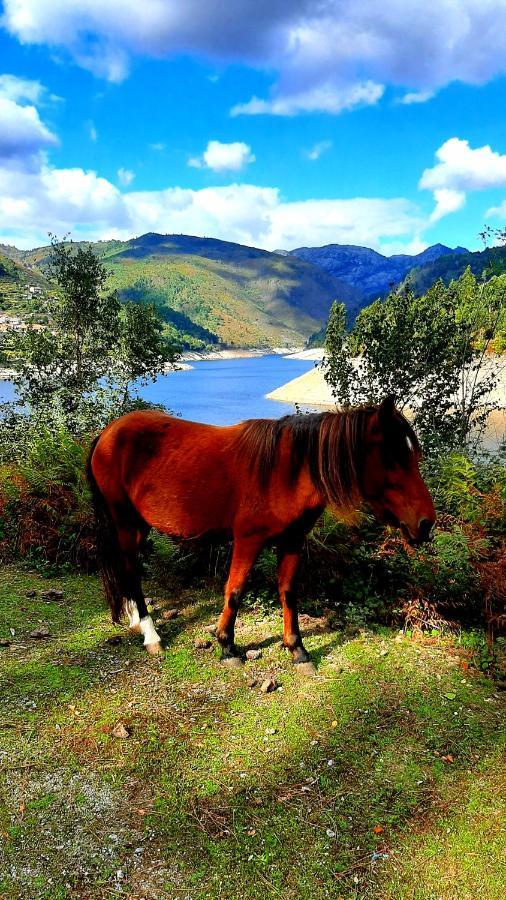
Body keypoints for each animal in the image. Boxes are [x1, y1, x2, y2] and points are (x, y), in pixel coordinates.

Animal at [86, 398, 434, 672]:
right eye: (393, 458)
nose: (426, 523)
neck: (285, 472)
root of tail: (107, 433)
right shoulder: (248, 540)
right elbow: (235, 591)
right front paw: (227, 645)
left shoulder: (293, 540)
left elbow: (288, 592)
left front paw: (296, 647)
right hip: (124, 522)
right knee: (131, 569)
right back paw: (150, 633)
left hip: (138, 525)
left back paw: (135, 617)